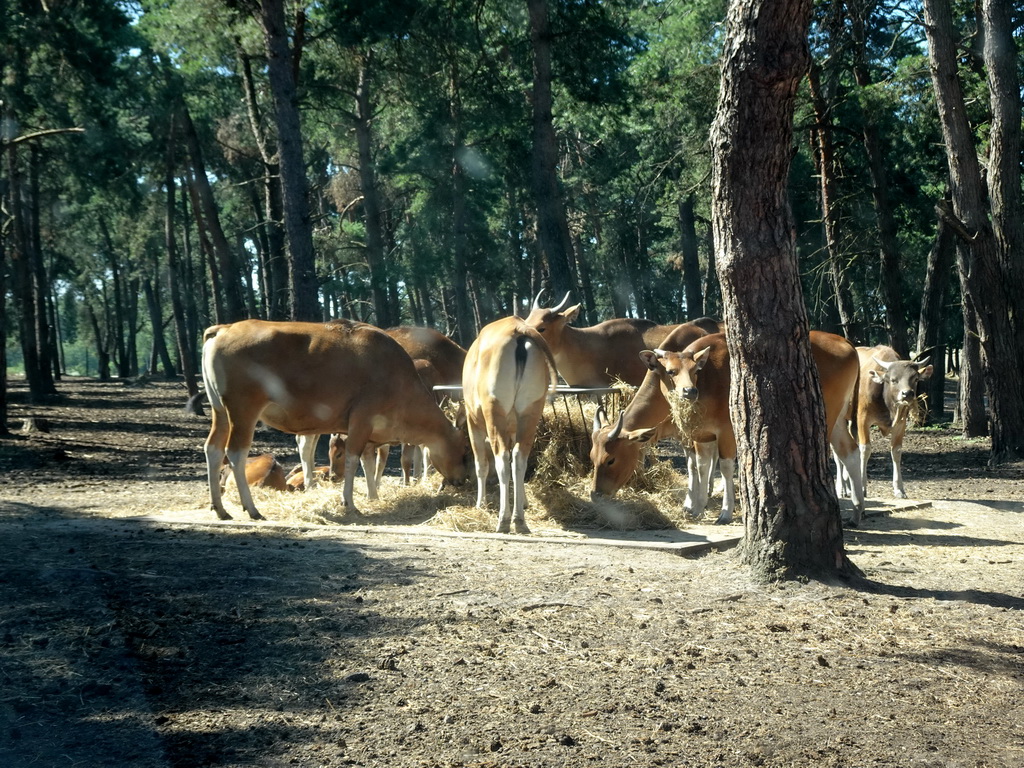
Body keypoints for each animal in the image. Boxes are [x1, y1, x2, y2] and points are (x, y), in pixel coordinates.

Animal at [200, 315, 471, 520]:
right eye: (465, 450)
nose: (462, 480)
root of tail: (223, 329)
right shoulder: (361, 421)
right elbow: (353, 460)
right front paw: (349, 503)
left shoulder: (371, 434)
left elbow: (368, 463)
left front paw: (373, 496)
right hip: (243, 409)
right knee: (236, 453)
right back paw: (253, 509)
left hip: (219, 410)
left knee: (213, 448)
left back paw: (220, 509)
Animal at [466, 315, 561, 532]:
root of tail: (518, 329)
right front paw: (524, 501)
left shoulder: (472, 421)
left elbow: (481, 464)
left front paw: (480, 504)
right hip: (531, 411)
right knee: (519, 457)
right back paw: (519, 520)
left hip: (494, 412)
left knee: (501, 458)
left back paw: (504, 520)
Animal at [647, 333, 864, 528]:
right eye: (670, 371)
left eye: (695, 370)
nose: (689, 391)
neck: (709, 379)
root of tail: (845, 341)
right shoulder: (702, 435)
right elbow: (701, 466)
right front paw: (698, 508)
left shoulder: (726, 432)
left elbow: (725, 468)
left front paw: (725, 512)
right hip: (838, 418)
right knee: (850, 452)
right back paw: (857, 510)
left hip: (827, 415)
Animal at [851, 346, 933, 501]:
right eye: (894, 380)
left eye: (915, 378)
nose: (907, 394)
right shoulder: (862, 419)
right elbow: (865, 450)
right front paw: (863, 487)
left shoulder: (901, 424)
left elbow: (896, 452)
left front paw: (899, 489)